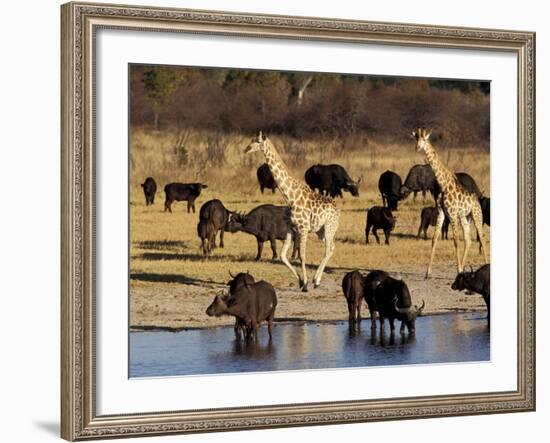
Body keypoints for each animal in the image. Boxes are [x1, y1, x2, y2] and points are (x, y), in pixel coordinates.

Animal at [246, 132, 340, 292]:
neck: (290, 197)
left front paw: (306, 284)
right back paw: (316, 280)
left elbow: (302, 256)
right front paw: (301, 281)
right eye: (251, 140)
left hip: (329, 228)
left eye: (257, 141)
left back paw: (316, 281)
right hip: (320, 231)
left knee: (328, 249)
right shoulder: (291, 228)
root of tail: (338, 211)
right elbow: (283, 256)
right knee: (332, 248)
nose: (246, 149)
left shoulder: (303, 228)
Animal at [414, 128, 492, 280]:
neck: (443, 184)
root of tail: (477, 200)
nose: (417, 147)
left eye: (424, 140)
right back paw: (464, 267)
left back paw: (484, 266)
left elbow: (455, 240)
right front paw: (428, 273)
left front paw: (458, 270)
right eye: (416, 139)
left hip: (476, 215)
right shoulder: (441, 213)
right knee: (468, 239)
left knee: (482, 237)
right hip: (464, 217)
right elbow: (434, 239)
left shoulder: (452, 213)